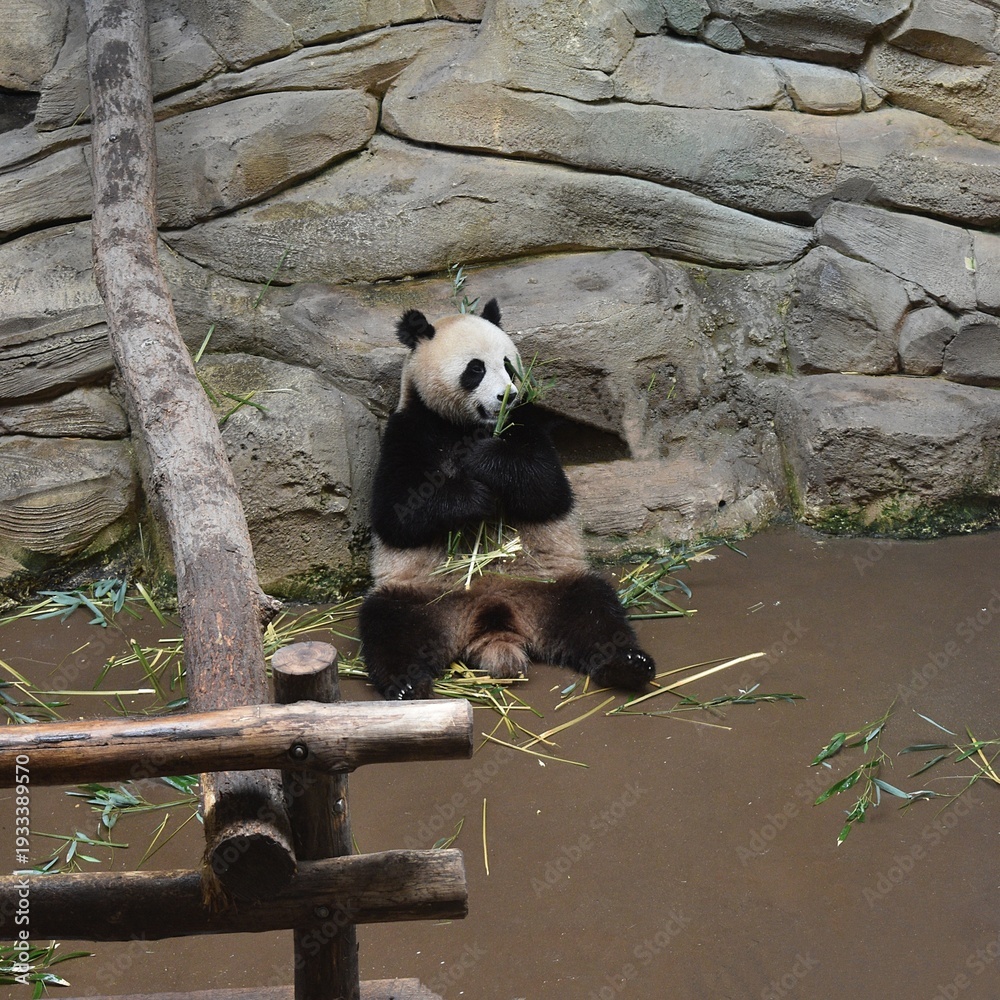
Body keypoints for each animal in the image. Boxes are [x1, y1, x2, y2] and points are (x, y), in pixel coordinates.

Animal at [358, 298, 656, 700]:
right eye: (475, 369)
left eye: (508, 364)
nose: (507, 397)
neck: (467, 427)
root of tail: (495, 620)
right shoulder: (408, 430)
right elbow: (396, 512)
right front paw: (473, 497)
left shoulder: (526, 422)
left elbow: (548, 487)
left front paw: (482, 459)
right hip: (424, 596)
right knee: (389, 624)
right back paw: (406, 683)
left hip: (552, 585)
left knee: (596, 611)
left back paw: (627, 663)